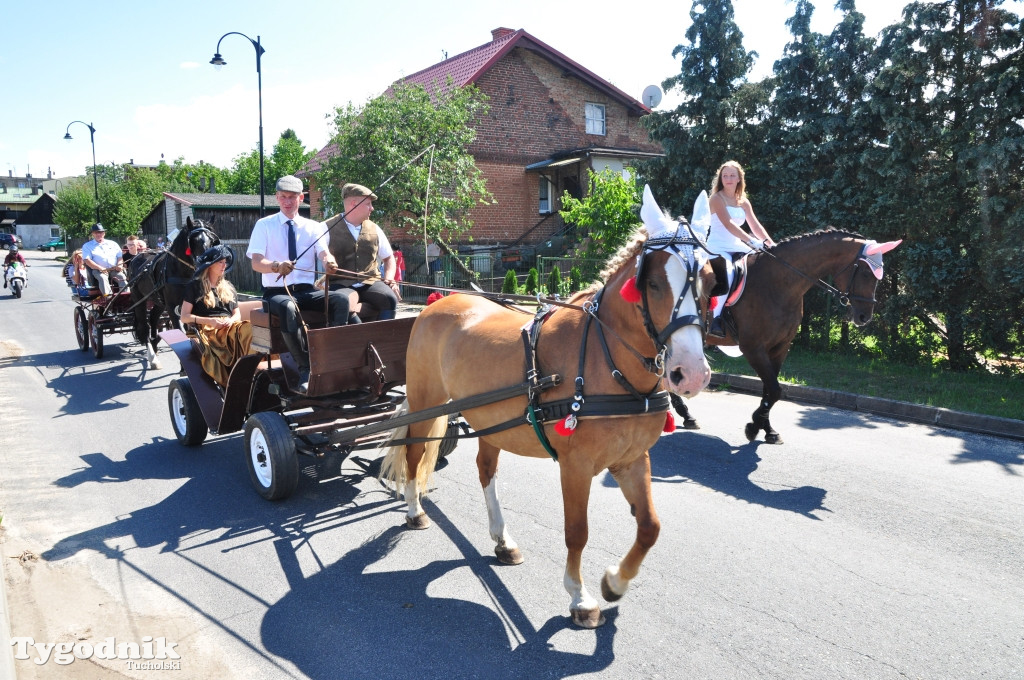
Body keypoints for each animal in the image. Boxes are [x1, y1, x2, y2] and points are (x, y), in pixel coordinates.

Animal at [128, 216, 218, 366]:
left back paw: (155, 346)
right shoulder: (171, 307)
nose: (208, 264)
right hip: (138, 299)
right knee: (144, 326)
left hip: (158, 301)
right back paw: (152, 357)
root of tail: (136, 258)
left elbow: (191, 330)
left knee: (153, 318)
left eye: (212, 240)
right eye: (194, 240)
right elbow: (180, 331)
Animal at [378, 184, 712, 626]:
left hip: (489, 419)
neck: (607, 361)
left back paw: (502, 540)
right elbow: (577, 531)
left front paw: (614, 582)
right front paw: (580, 596)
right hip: (425, 400)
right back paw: (415, 509)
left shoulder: (631, 459)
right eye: (654, 283)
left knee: (486, 470)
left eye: (709, 279)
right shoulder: (576, 465)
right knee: (415, 454)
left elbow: (650, 527)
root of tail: (436, 302)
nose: (690, 373)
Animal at [675, 228, 901, 444]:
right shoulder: (753, 349)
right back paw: (684, 413)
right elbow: (775, 390)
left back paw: (685, 415)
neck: (779, 282)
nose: (865, 317)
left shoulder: (780, 347)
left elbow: (770, 390)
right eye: (866, 273)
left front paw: (767, 429)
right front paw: (754, 426)